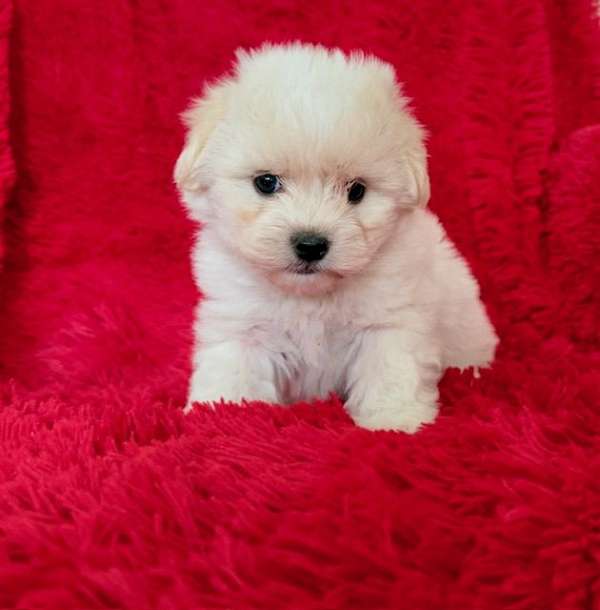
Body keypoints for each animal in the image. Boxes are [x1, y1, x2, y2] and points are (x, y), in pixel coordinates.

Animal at [175, 42, 496, 430]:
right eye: (266, 182)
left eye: (356, 191)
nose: (311, 244)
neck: (312, 295)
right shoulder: (242, 321)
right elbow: (234, 367)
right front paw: (222, 413)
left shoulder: (391, 318)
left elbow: (390, 368)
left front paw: (393, 419)